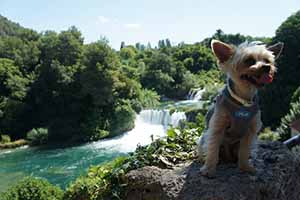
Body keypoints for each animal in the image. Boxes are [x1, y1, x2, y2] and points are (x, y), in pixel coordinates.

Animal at [197, 39, 284, 177]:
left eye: (267, 60)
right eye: (249, 60)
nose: (267, 67)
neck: (242, 101)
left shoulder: (250, 131)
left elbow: (244, 151)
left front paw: (245, 168)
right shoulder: (217, 127)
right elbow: (212, 149)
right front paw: (209, 169)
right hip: (204, 139)